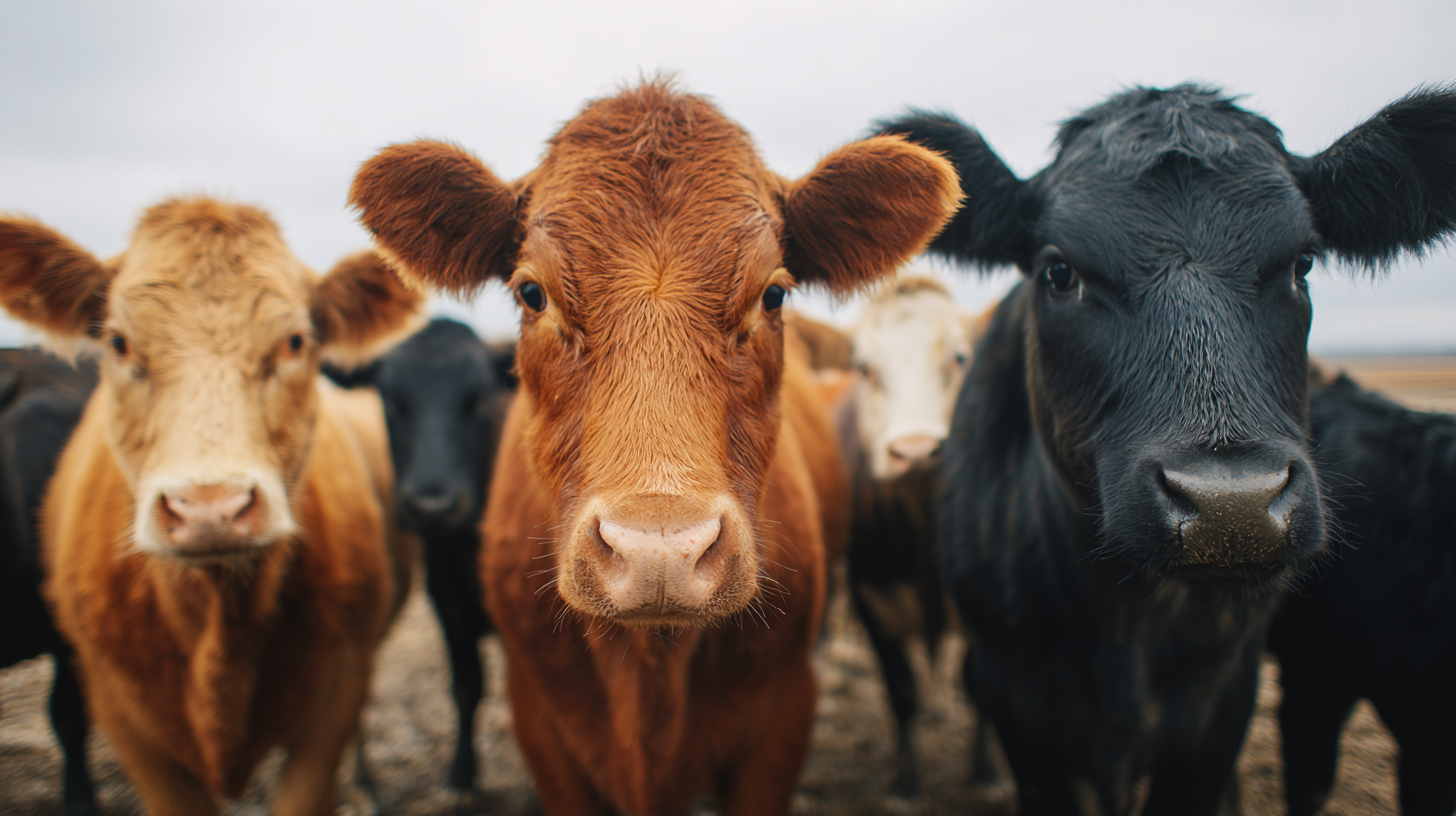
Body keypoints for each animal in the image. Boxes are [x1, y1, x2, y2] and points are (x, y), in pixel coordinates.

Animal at [327, 317, 513, 794]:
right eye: (392, 401)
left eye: (479, 397)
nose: (433, 507)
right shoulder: (445, 598)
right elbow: (467, 686)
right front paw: (461, 774)